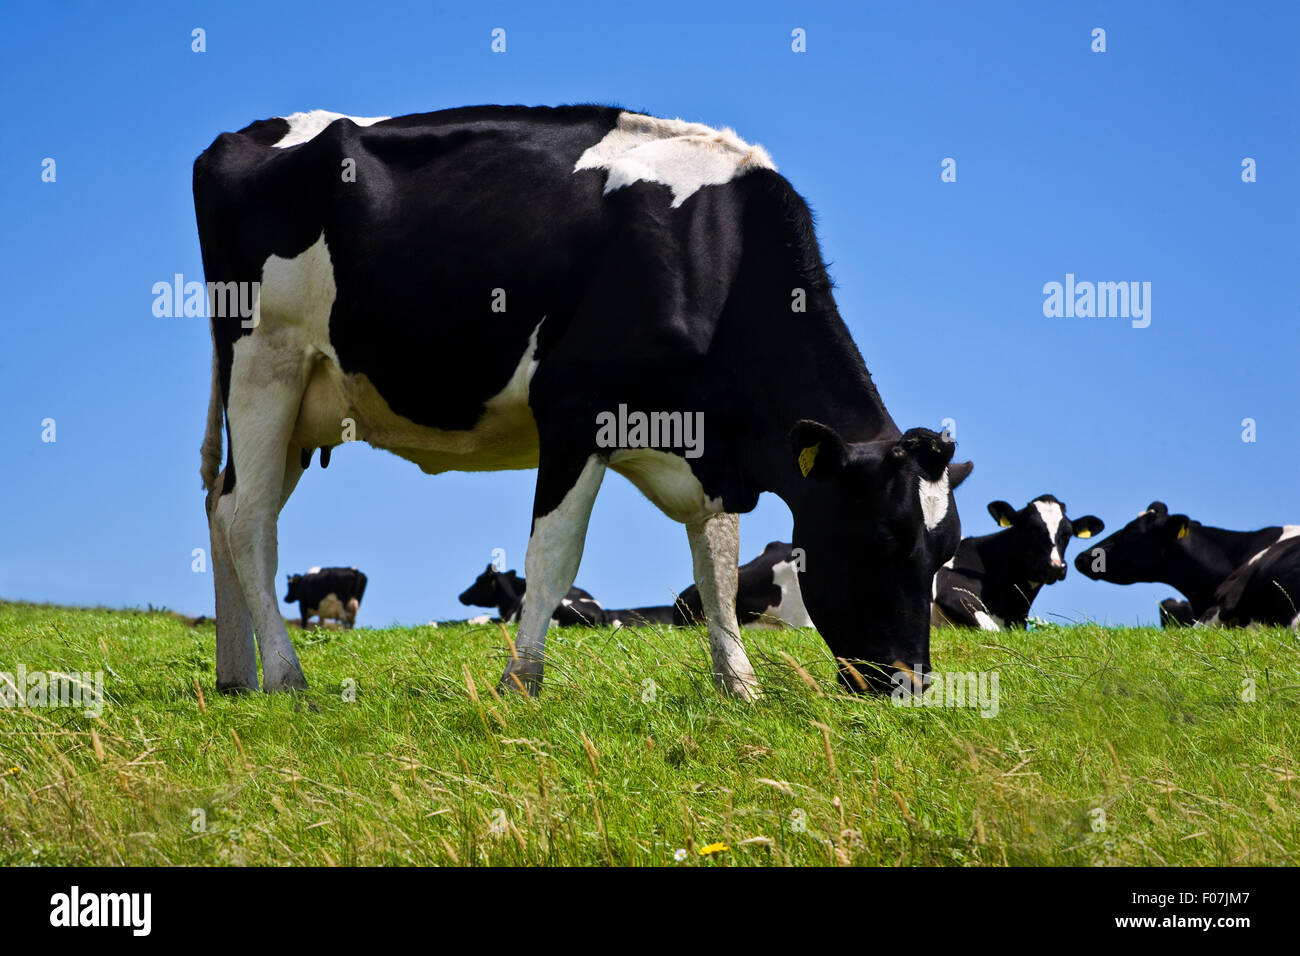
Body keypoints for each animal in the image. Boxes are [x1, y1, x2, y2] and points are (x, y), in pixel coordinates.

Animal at [192, 106, 972, 697]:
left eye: (945, 552)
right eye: (883, 537)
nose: (911, 683)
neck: (713, 259)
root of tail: (245, 134)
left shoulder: (708, 452)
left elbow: (716, 571)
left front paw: (740, 685)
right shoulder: (573, 412)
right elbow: (555, 556)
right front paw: (521, 684)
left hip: (302, 405)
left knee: (222, 506)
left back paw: (235, 675)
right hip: (266, 361)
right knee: (251, 521)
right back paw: (285, 676)